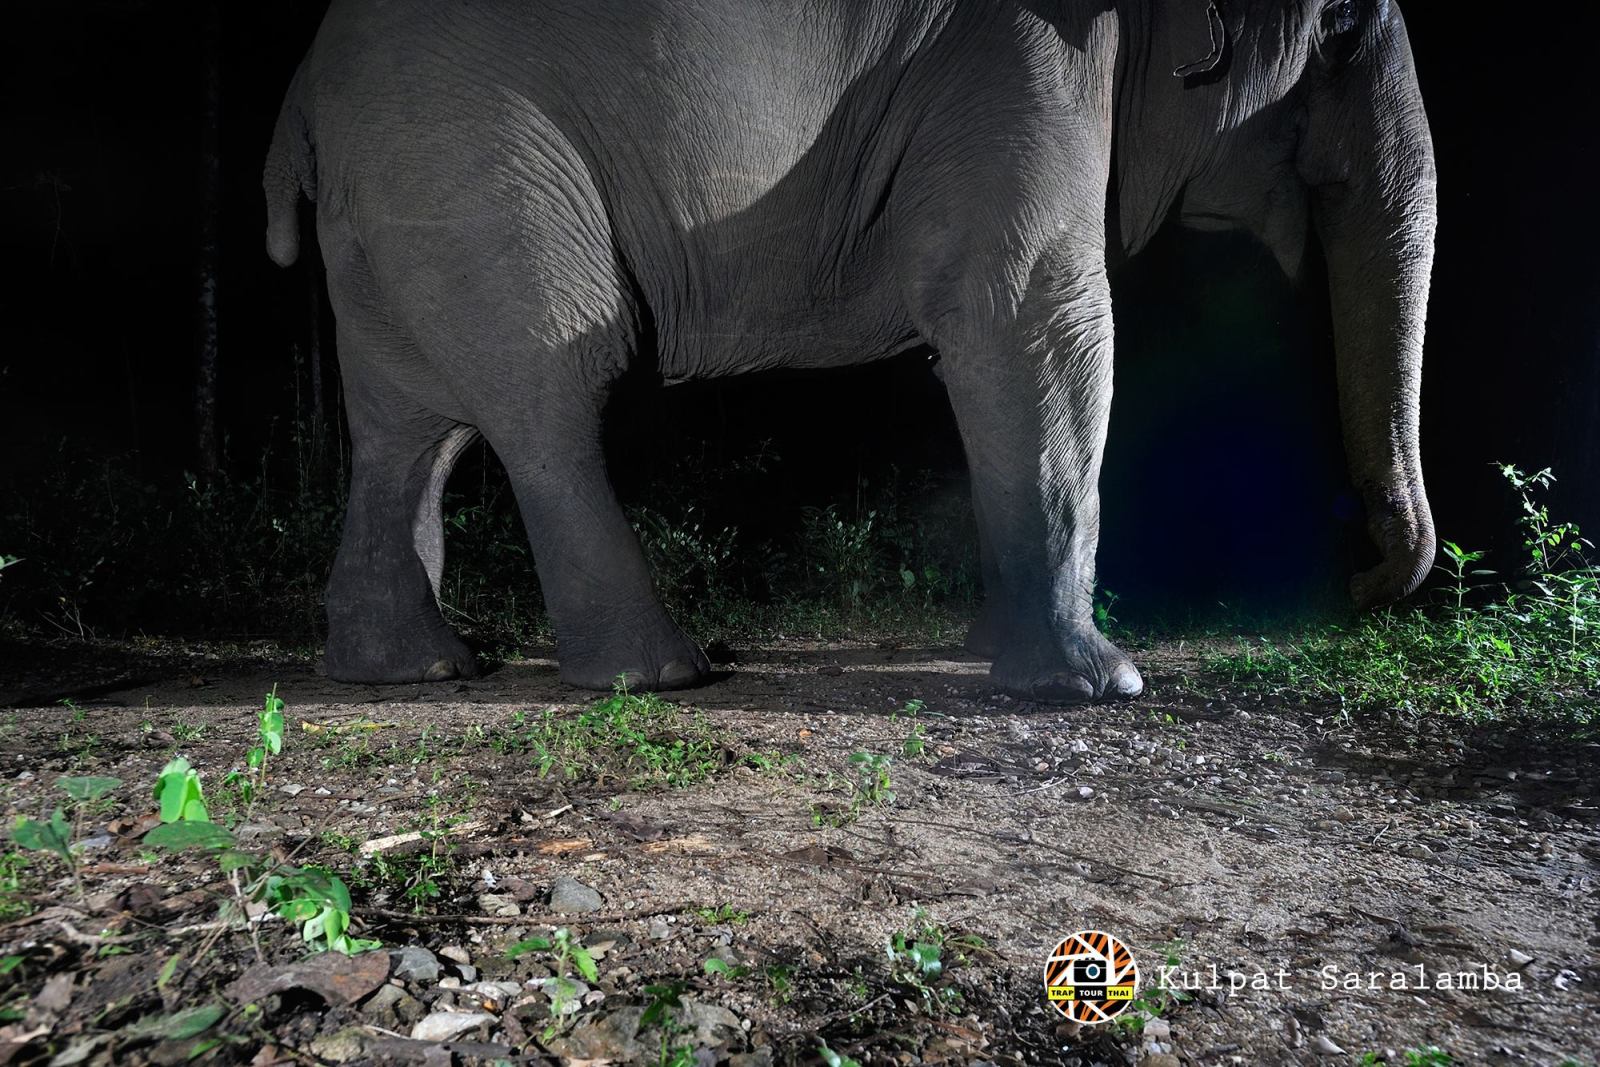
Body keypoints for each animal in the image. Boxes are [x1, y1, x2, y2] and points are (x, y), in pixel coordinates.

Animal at [264, 0, 1437, 703]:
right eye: (1338, 31)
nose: (1362, 576)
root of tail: (301, 94)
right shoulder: (1026, 72)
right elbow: (1036, 320)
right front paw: (1100, 684)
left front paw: (993, 649)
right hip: (470, 159)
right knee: (554, 393)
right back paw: (661, 676)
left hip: (402, 191)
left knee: (412, 430)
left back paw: (410, 670)